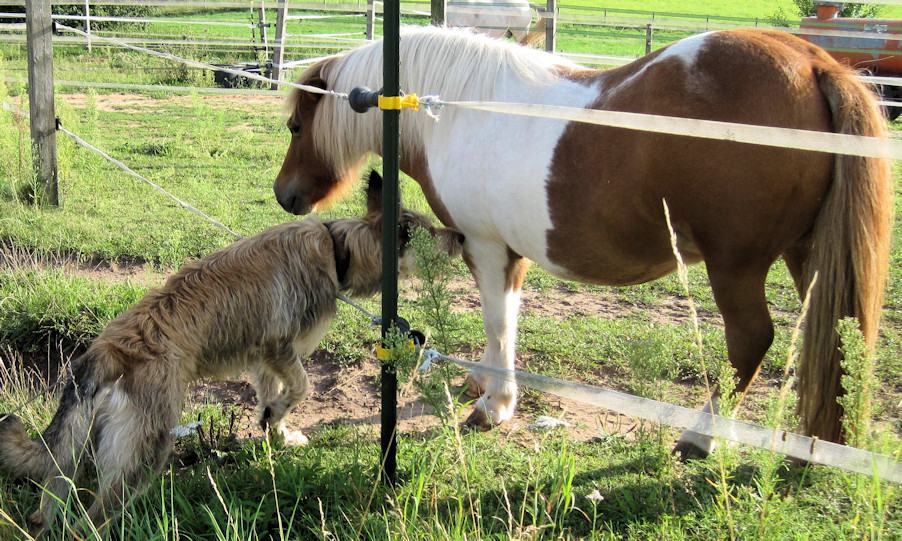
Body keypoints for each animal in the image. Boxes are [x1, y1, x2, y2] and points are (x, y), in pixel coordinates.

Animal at [273, 26, 893, 457]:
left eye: (296, 127)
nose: (285, 195)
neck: (458, 114)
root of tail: (815, 63)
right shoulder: (509, 253)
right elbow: (506, 319)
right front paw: (484, 381)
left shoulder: (485, 245)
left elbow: (496, 320)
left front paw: (494, 406)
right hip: (807, 255)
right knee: (835, 338)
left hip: (735, 266)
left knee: (750, 341)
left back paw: (700, 437)